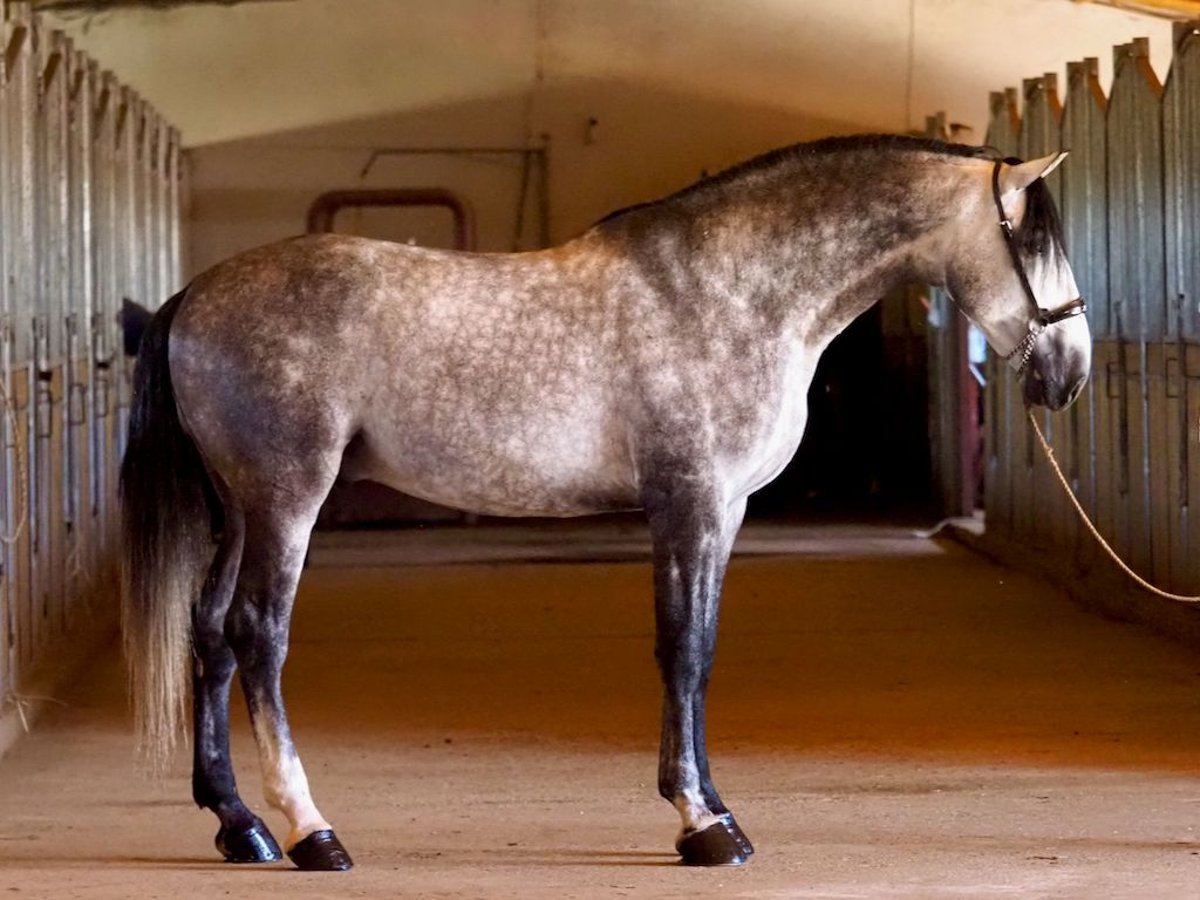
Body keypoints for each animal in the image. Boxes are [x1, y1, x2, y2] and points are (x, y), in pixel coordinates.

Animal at [119, 135, 1089, 873]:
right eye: (1035, 240)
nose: (1069, 373)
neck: (733, 292)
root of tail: (192, 297)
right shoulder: (689, 503)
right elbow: (683, 651)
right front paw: (702, 822)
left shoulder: (724, 513)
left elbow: (700, 651)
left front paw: (713, 810)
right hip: (287, 498)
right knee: (257, 636)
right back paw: (310, 831)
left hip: (237, 507)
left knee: (209, 635)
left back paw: (238, 825)